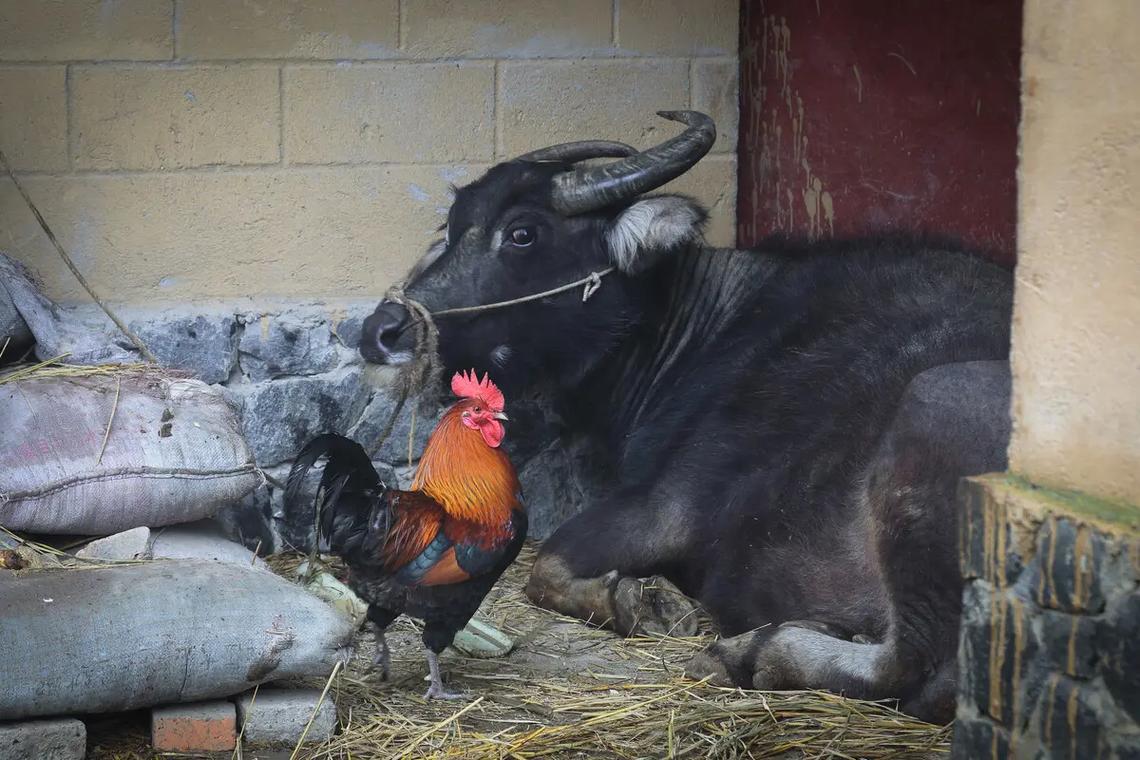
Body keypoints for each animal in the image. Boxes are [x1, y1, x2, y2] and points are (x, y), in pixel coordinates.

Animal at [360, 109, 1012, 724]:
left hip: (932, 405)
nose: (382, 329)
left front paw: (646, 602)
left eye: (522, 233)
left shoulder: (668, 503)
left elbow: (545, 566)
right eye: (452, 225)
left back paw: (747, 654)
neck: (710, 326)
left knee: (917, 668)